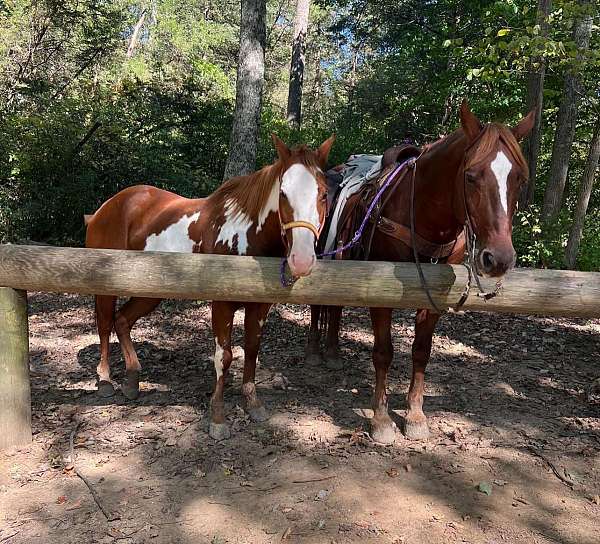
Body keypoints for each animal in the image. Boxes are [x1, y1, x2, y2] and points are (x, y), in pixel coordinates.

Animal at [86, 134, 336, 440]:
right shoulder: (222, 304)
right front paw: (217, 417)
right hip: (106, 285)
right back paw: (105, 380)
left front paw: (253, 403)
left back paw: (132, 381)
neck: (246, 236)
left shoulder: (260, 307)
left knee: (122, 321)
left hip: (151, 289)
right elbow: (224, 356)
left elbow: (251, 349)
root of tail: (107, 206)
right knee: (105, 324)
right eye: (283, 194)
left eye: (323, 194)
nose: (301, 260)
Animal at [308, 103, 532, 446]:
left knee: (335, 308)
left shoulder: (434, 294)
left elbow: (421, 352)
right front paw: (382, 420)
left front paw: (415, 416)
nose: (499, 259)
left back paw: (332, 352)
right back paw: (313, 353)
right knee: (318, 306)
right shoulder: (380, 292)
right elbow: (383, 352)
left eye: (519, 178)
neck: (423, 215)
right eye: (470, 176)